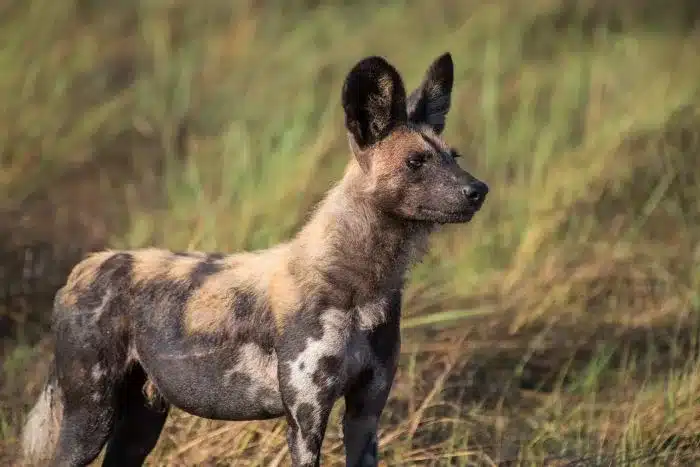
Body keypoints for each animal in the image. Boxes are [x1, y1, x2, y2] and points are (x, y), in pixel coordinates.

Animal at [20, 52, 486, 467]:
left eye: (454, 157)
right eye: (415, 162)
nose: (479, 190)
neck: (362, 286)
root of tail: (85, 267)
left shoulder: (365, 417)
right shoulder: (305, 422)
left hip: (141, 421)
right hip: (90, 418)